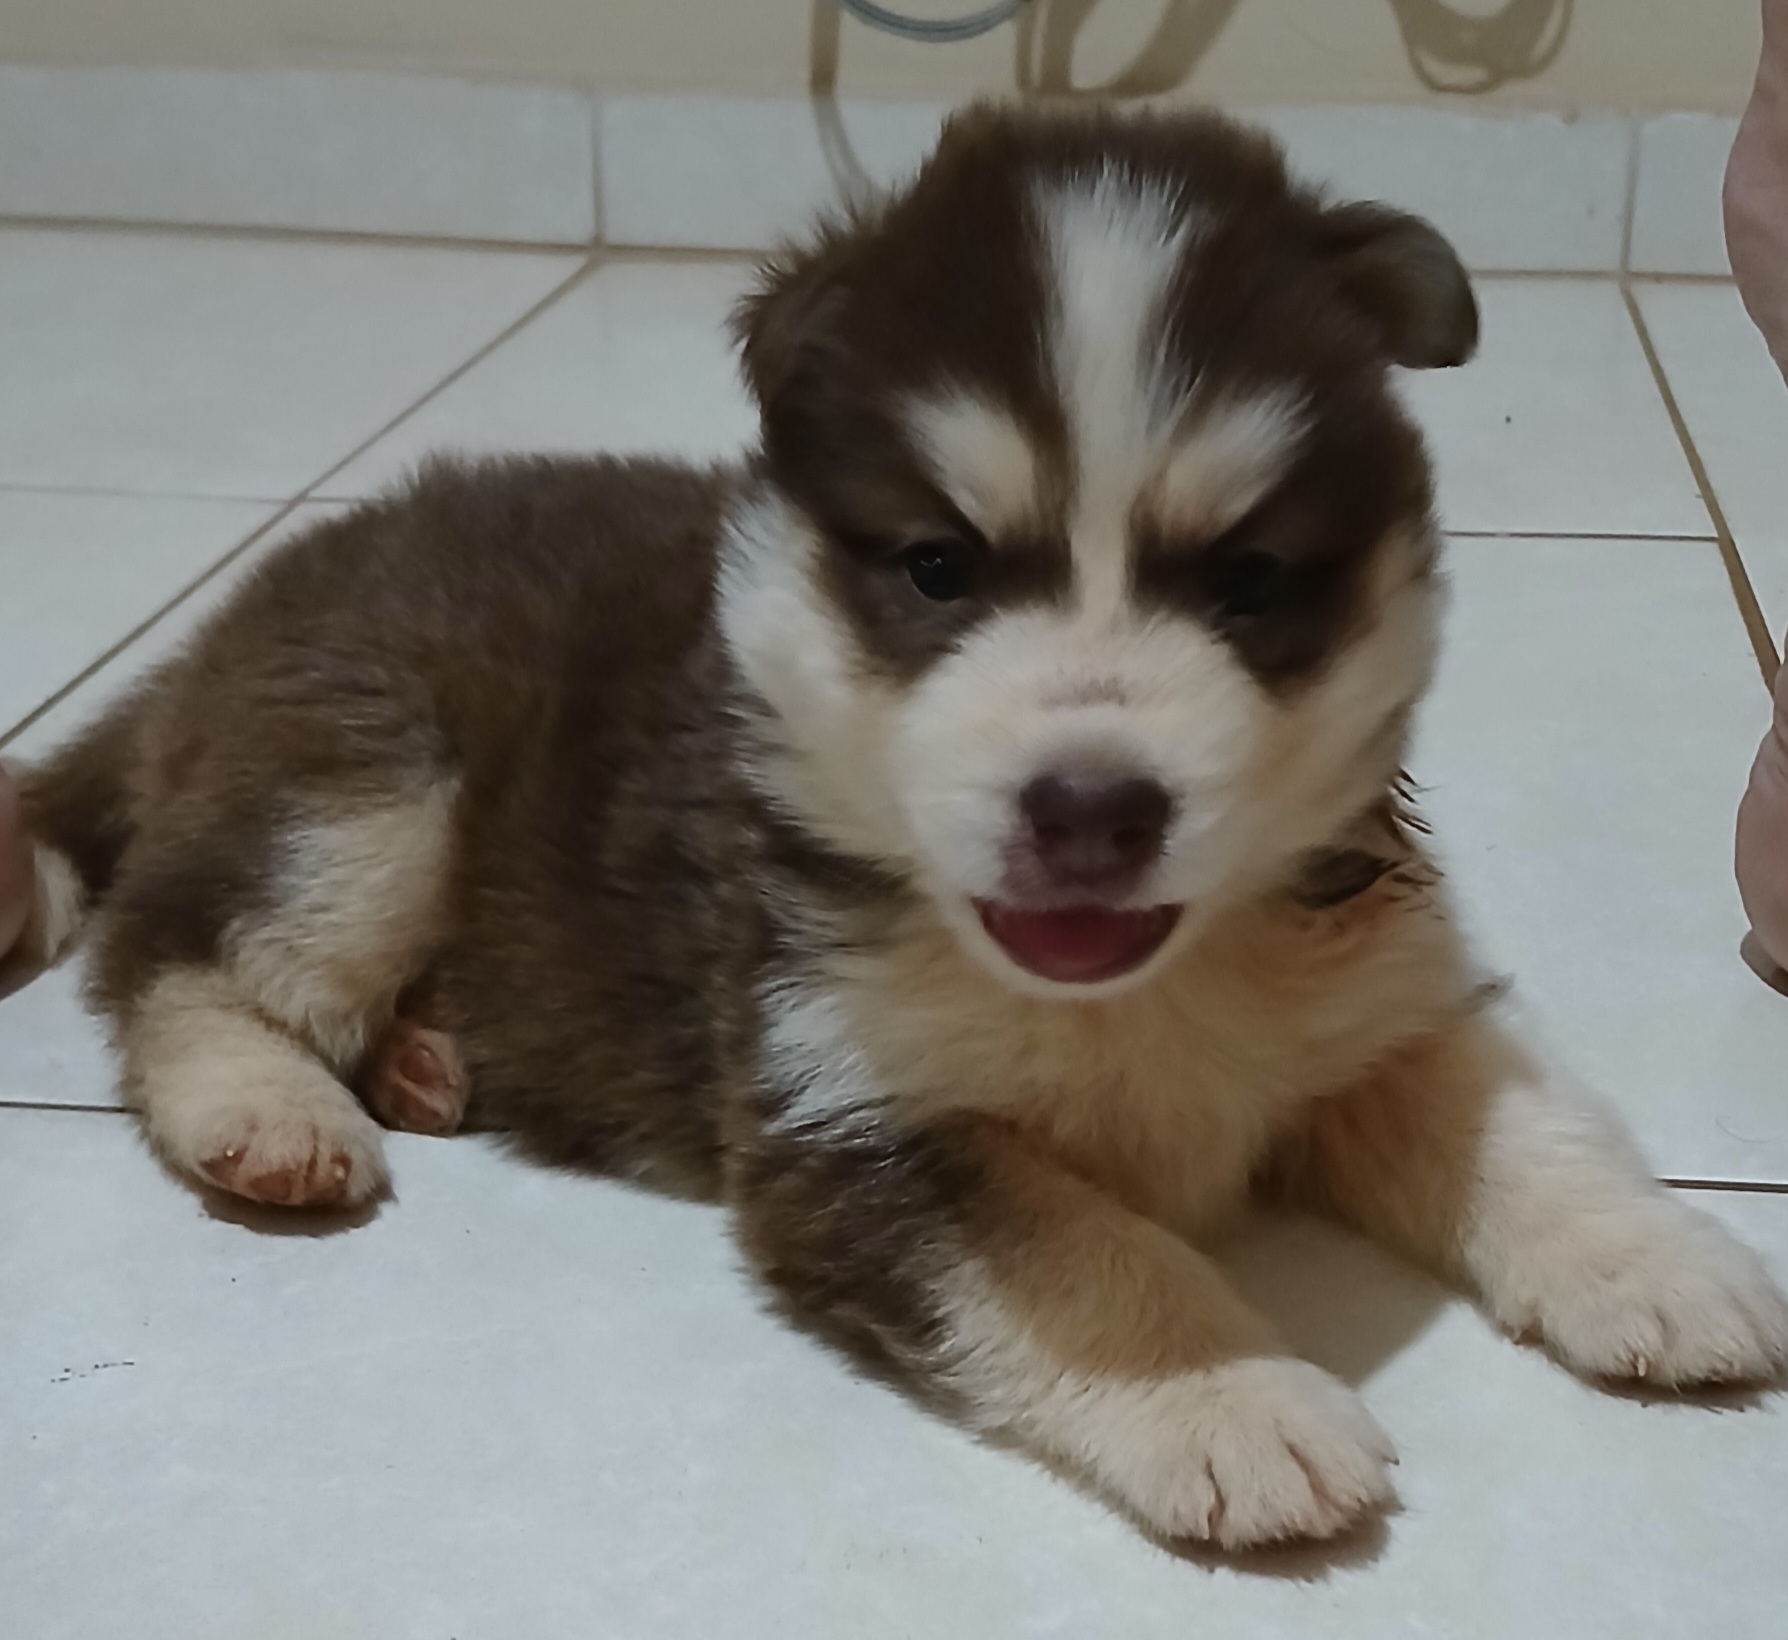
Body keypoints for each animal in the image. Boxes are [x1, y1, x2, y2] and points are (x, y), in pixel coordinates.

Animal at [6, 108, 1780, 1545]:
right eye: (939, 567)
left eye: (1248, 582)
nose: (1094, 806)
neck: (1131, 991)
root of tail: (238, 611)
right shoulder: (843, 1110)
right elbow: (1079, 1251)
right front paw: (1225, 1394)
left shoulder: (1373, 998)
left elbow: (1522, 1116)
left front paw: (1656, 1259)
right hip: (370, 784)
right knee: (168, 953)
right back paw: (271, 1109)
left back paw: (427, 1057)